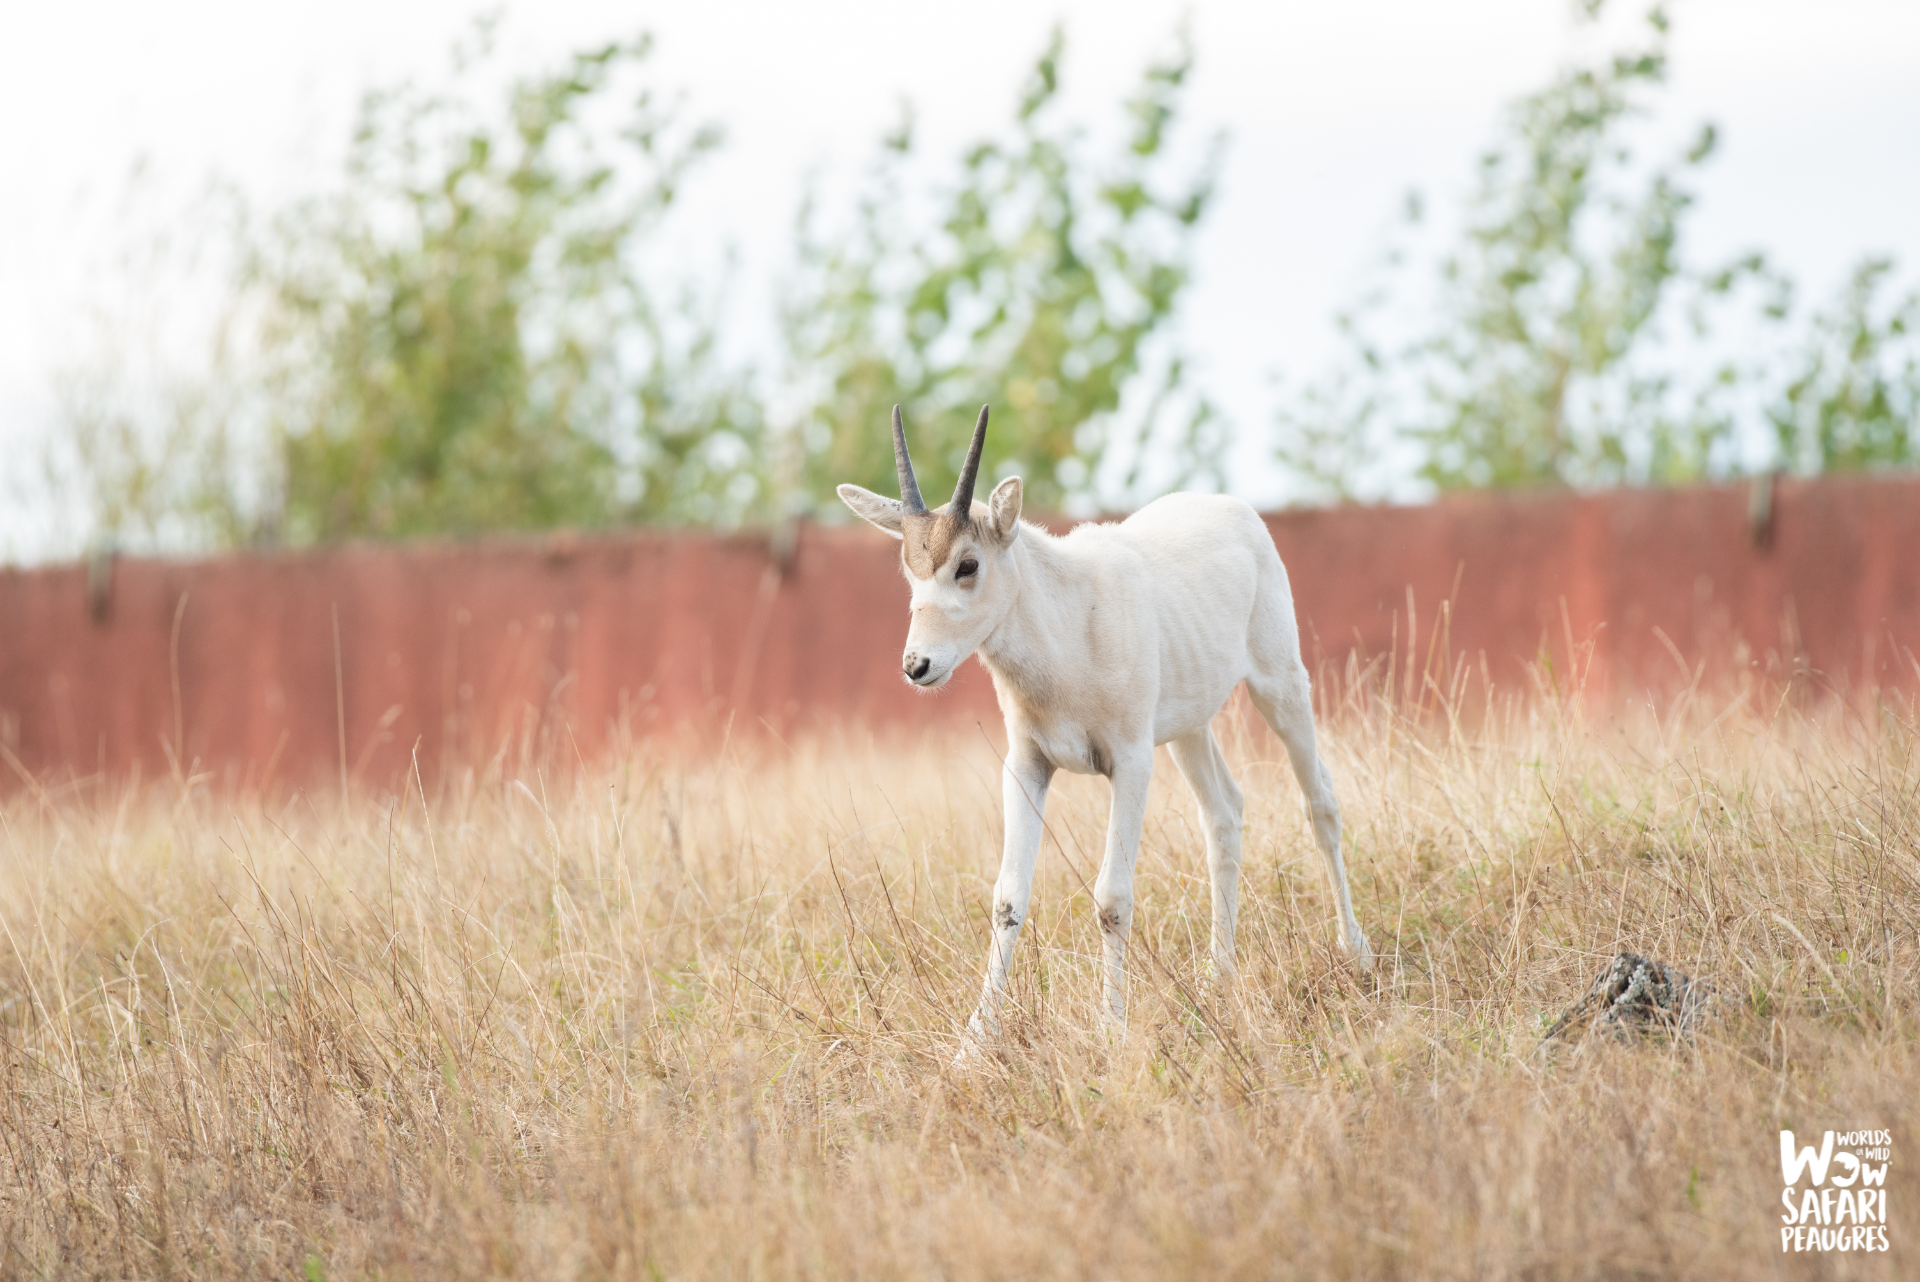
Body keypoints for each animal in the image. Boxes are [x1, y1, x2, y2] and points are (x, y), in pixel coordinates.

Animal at [840, 404, 1367, 1044]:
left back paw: (1356, 953)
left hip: (1280, 686)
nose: (917, 665)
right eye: (910, 569)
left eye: (968, 564)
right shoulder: (1027, 766)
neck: (1069, 621)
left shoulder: (1130, 763)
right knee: (1224, 812)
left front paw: (1112, 1029)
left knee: (1321, 803)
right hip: (1186, 730)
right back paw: (1219, 975)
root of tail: (1233, 508)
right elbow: (1007, 898)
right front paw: (974, 1042)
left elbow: (1112, 897)